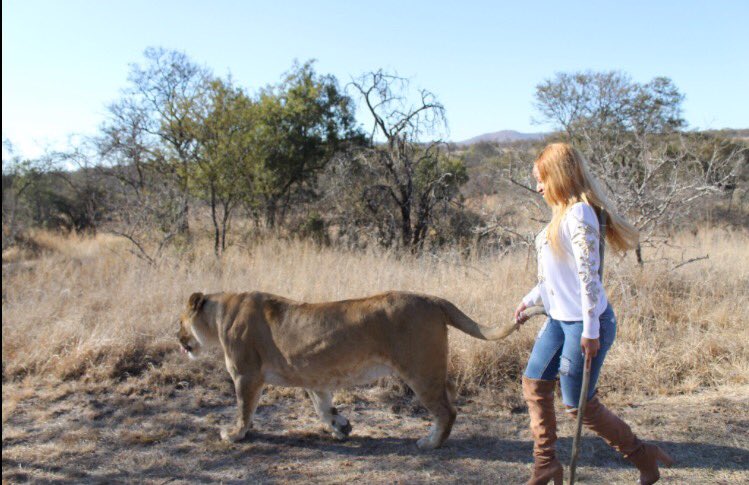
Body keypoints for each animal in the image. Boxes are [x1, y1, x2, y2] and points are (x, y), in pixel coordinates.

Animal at [177, 290, 523, 450]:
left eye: (180, 322)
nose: (177, 339)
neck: (219, 315)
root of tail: (431, 298)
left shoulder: (245, 374)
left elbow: (244, 409)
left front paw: (234, 434)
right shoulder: (312, 375)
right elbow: (322, 406)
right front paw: (341, 427)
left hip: (421, 371)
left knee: (447, 411)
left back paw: (430, 443)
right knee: (448, 402)